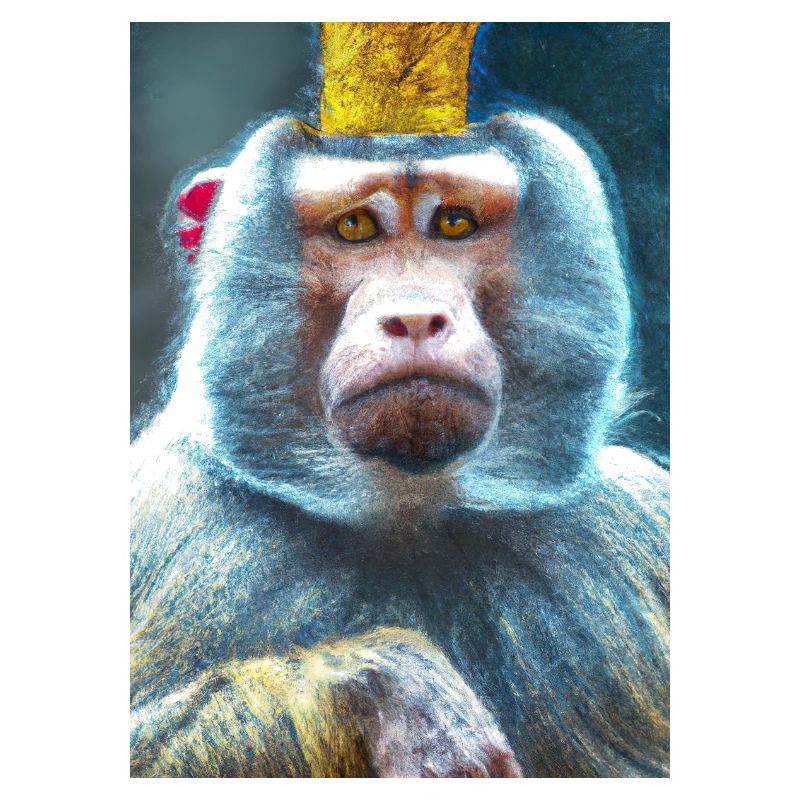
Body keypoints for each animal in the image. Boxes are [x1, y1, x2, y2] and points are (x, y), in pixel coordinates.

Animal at [131, 111, 669, 777]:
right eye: (356, 227)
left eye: (454, 223)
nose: (415, 317)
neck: (409, 513)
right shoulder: (170, 517)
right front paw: (392, 690)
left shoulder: (638, 512)